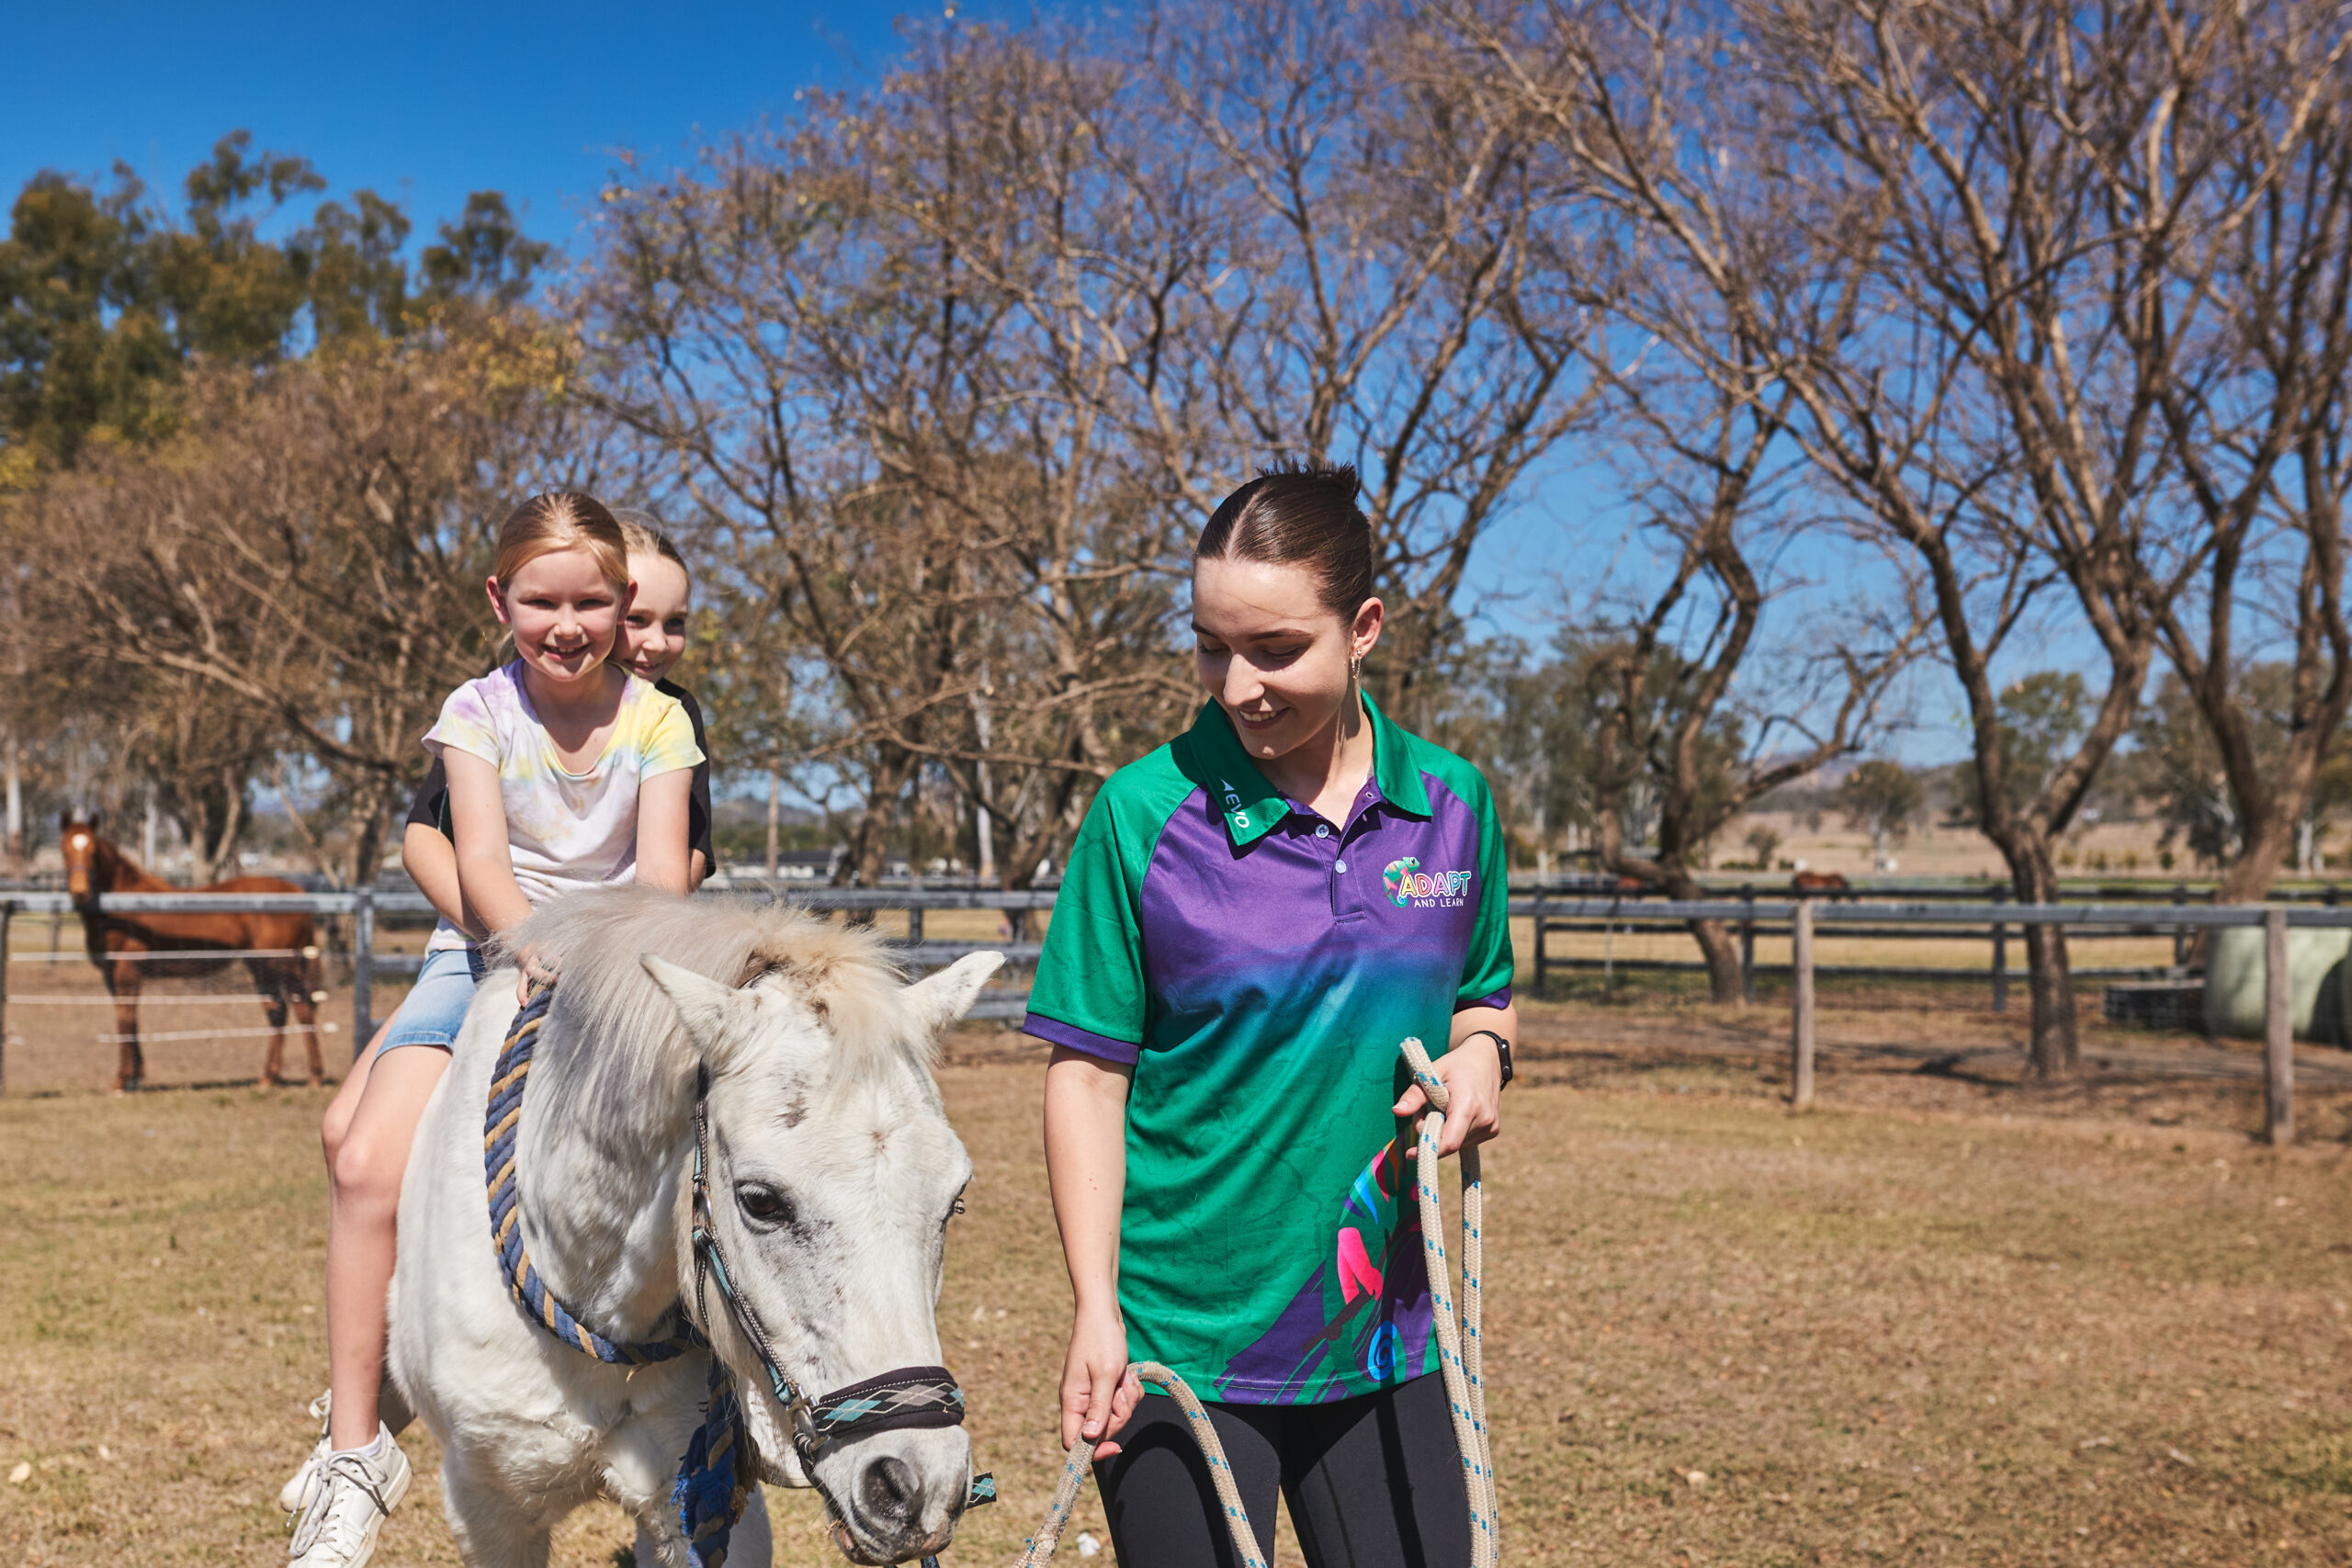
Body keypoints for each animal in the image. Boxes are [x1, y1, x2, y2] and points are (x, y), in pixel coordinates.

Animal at [59, 808, 324, 1090]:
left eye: (93, 851)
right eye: (64, 850)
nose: (80, 892)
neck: (122, 906)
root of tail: (297, 892)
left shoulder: (126, 972)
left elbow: (125, 1019)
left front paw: (122, 1079)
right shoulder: (112, 976)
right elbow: (131, 1020)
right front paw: (136, 1076)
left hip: (282, 964)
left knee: (302, 1010)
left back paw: (314, 1076)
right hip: (260, 967)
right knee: (278, 1013)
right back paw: (267, 1078)